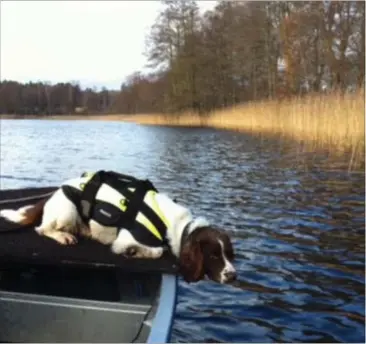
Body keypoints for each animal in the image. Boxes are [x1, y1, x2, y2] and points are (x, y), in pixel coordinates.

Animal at [0, 171, 237, 284]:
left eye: (230, 254)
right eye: (214, 255)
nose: (233, 276)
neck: (176, 225)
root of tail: (52, 195)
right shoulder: (127, 238)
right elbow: (157, 250)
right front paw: (136, 252)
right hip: (68, 210)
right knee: (42, 229)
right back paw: (63, 237)